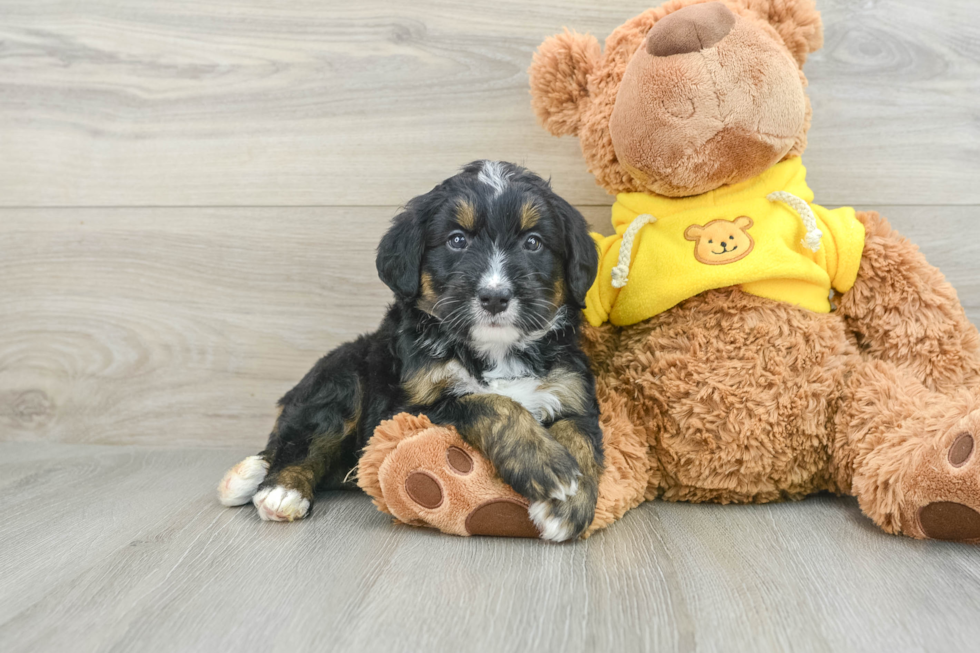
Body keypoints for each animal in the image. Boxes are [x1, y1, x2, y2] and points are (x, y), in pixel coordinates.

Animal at [221, 159, 600, 540]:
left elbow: (580, 436)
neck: (497, 351)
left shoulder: (573, 391)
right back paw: (278, 490)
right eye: (457, 240)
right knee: (303, 438)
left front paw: (569, 503)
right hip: (344, 377)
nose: (495, 297)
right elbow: (490, 402)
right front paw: (549, 468)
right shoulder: (404, 411)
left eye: (533, 242)